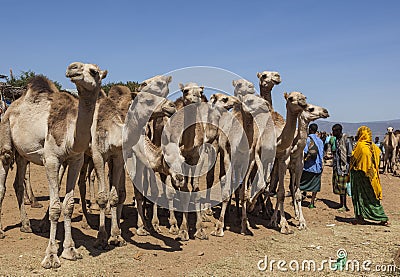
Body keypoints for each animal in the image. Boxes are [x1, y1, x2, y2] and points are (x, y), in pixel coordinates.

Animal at [0, 62, 107, 268]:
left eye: (94, 71)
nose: (73, 67)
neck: (70, 136)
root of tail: (10, 107)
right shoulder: (51, 160)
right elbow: (56, 207)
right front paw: (51, 256)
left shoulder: (76, 160)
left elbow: (68, 205)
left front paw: (70, 250)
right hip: (6, 139)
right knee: (3, 179)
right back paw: (1, 231)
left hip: (23, 154)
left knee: (17, 183)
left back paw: (26, 225)